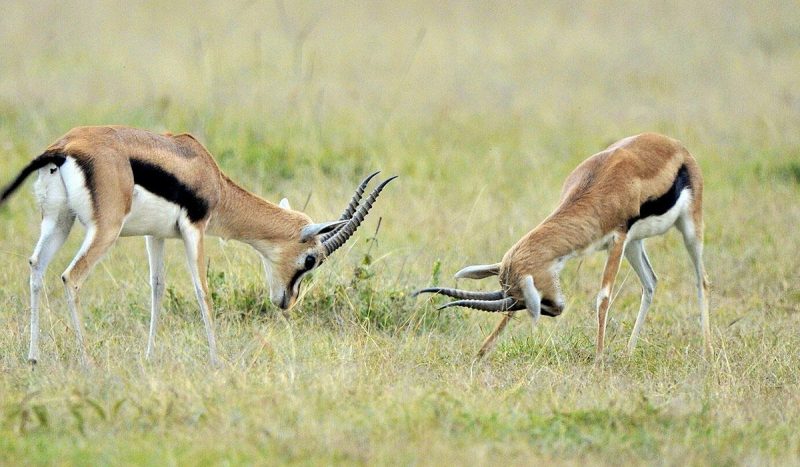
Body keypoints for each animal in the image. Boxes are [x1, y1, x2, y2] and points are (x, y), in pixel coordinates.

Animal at [0, 125, 396, 367]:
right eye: (311, 259)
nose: (287, 301)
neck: (210, 176)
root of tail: (64, 148)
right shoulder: (195, 229)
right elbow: (201, 291)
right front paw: (217, 360)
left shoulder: (156, 235)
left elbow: (157, 288)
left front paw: (150, 356)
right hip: (104, 230)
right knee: (71, 277)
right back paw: (86, 361)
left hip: (59, 222)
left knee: (36, 267)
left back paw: (33, 358)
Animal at [416, 133, 711, 360]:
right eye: (515, 298)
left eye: (529, 300)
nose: (557, 310)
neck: (599, 185)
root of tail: (674, 144)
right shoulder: (620, 241)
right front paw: (481, 352)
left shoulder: (617, 240)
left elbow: (603, 298)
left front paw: (598, 360)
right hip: (635, 244)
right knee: (650, 283)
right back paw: (629, 351)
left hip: (689, 227)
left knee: (702, 281)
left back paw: (707, 351)